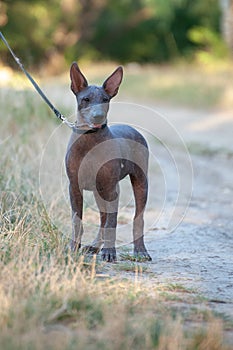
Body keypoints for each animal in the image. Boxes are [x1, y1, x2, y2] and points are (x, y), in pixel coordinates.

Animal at [65, 63, 151, 262]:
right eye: (86, 99)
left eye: (105, 99)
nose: (97, 116)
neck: (90, 139)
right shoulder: (74, 188)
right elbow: (77, 221)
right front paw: (74, 247)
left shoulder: (112, 190)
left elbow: (112, 222)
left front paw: (110, 252)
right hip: (100, 192)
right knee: (103, 218)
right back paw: (95, 246)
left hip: (140, 182)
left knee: (137, 218)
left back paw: (140, 250)